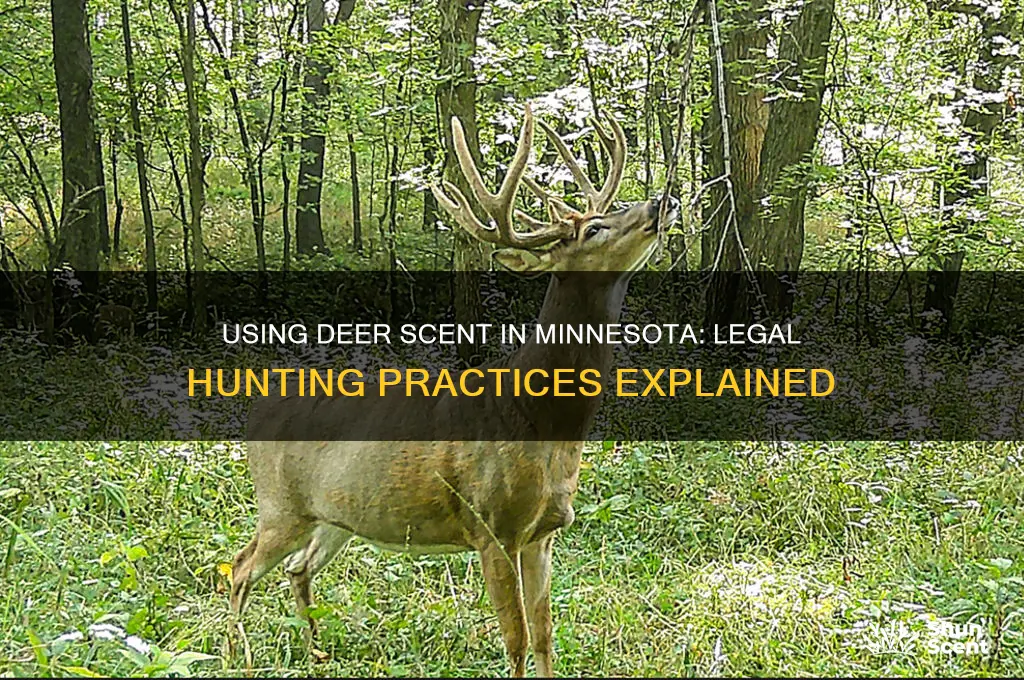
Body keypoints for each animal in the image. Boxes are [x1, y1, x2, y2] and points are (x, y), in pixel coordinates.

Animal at [231, 103, 679, 676]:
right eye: (595, 227)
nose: (663, 200)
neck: (543, 421)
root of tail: (255, 410)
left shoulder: (544, 534)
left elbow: (544, 637)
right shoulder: (492, 527)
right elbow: (515, 642)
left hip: (335, 515)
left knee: (297, 569)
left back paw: (318, 651)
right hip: (279, 506)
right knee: (237, 568)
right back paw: (237, 657)